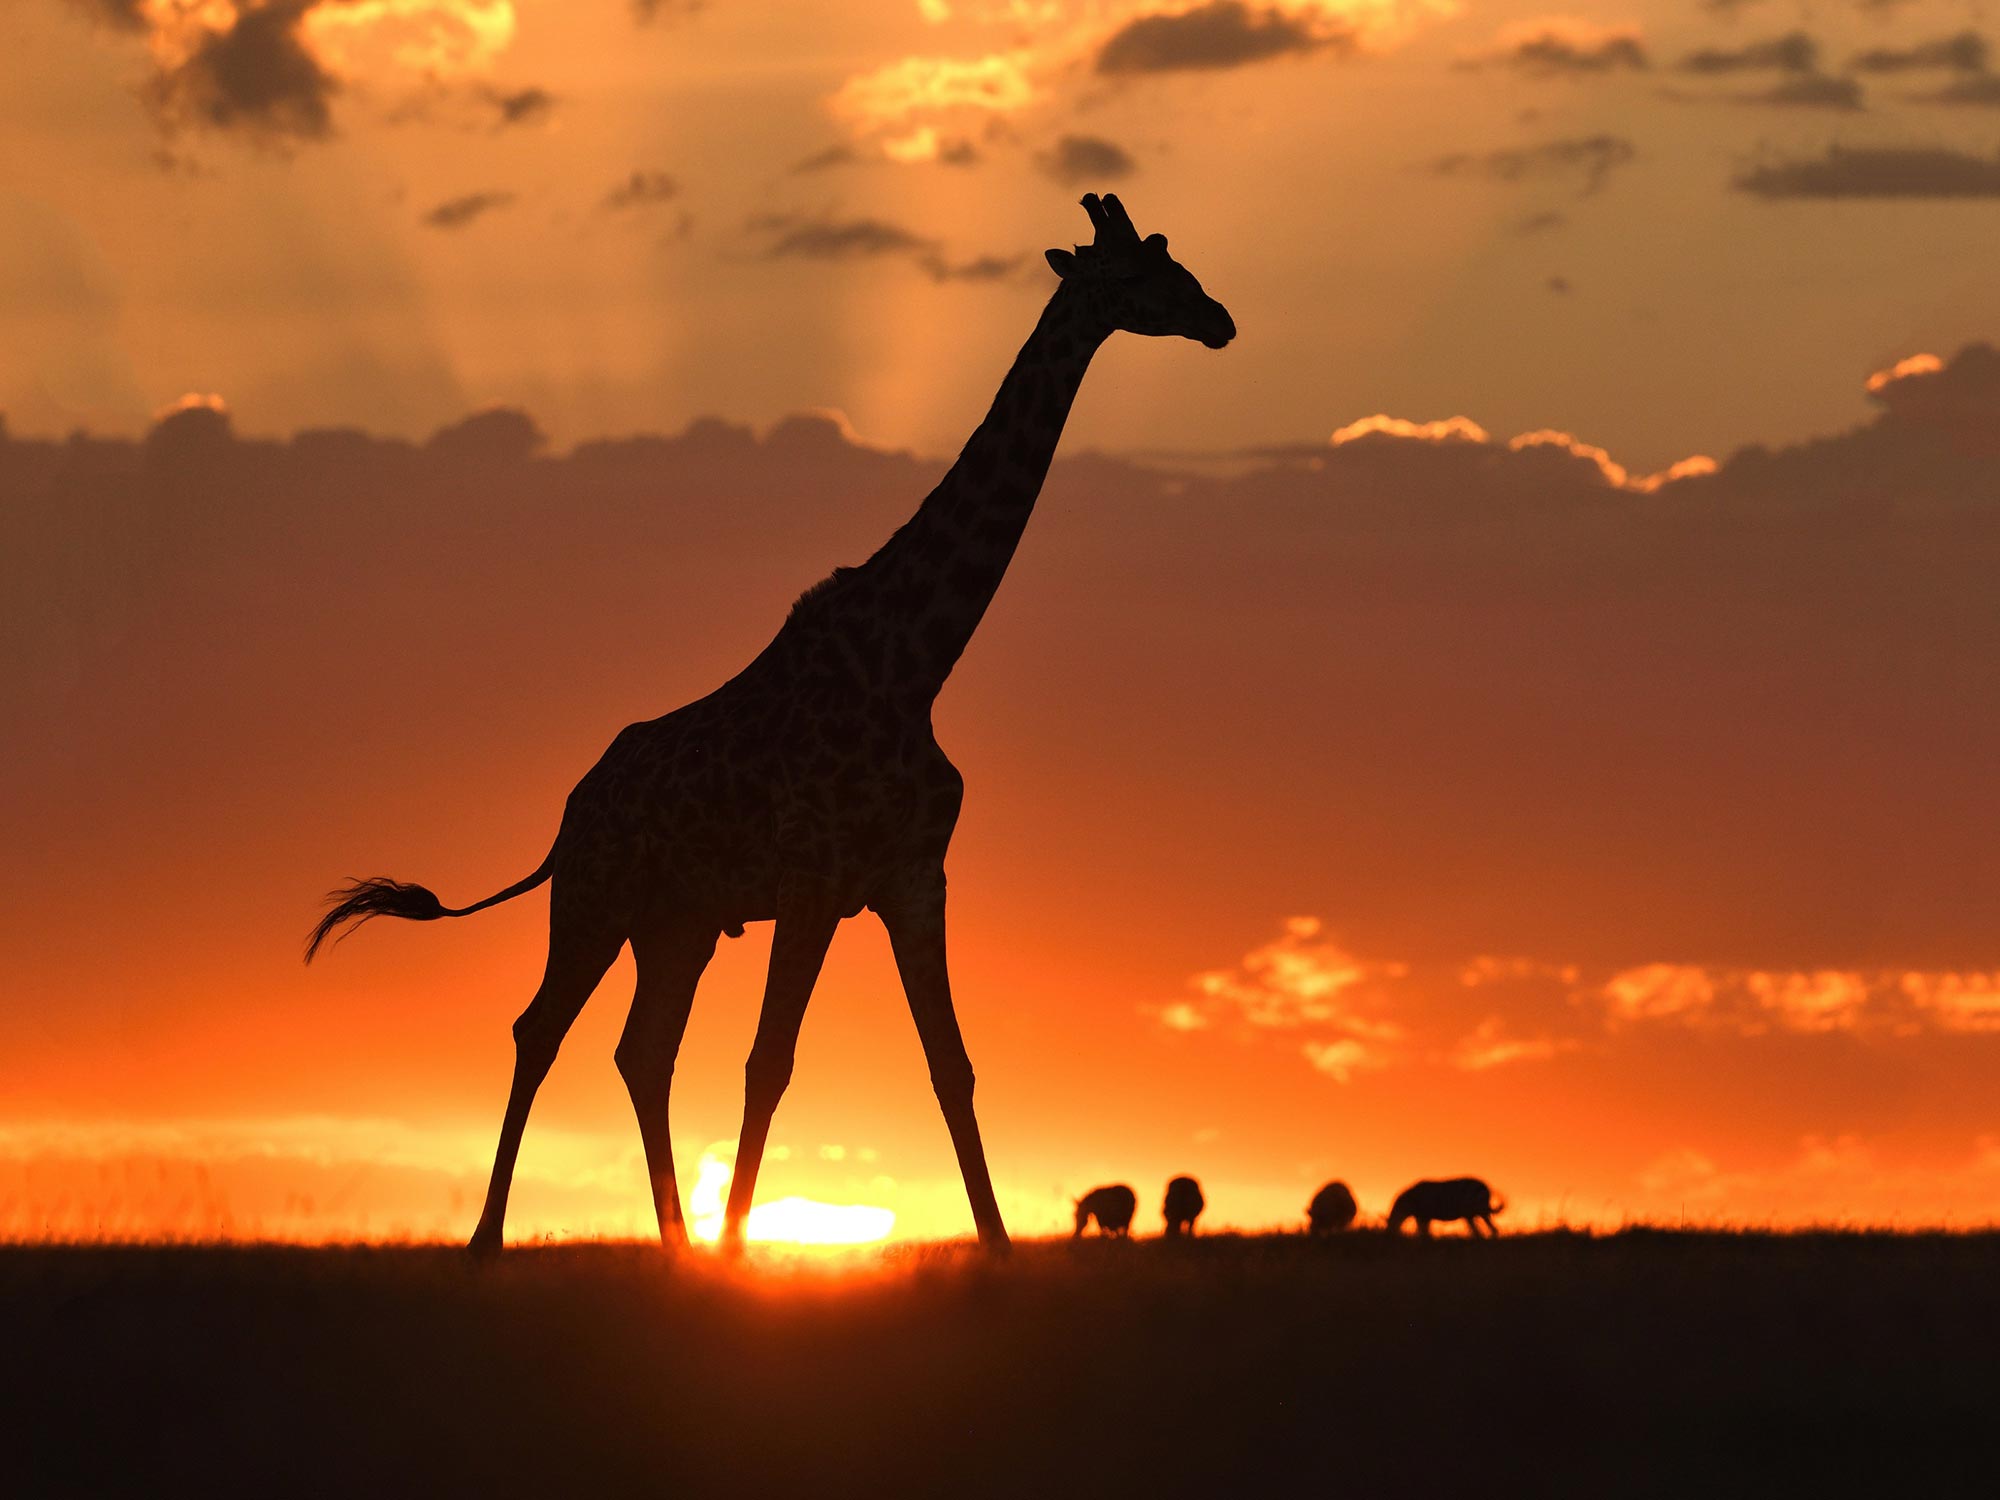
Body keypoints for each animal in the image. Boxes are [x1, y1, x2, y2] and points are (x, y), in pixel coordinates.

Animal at [305, 193, 1235, 1258]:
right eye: (1135, 275)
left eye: (1171, 257)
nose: (1219, 320)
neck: (914, 664)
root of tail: (568, 814)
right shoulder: (813, 878)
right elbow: (770, 1061)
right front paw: (741, 1254)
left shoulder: (913, 876)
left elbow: (949, 1065)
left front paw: (998, 1253)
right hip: (594, 901)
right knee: (539, 1030)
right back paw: (492, 1242)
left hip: (678, 923)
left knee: (642, 1050)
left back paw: (673, 1246)